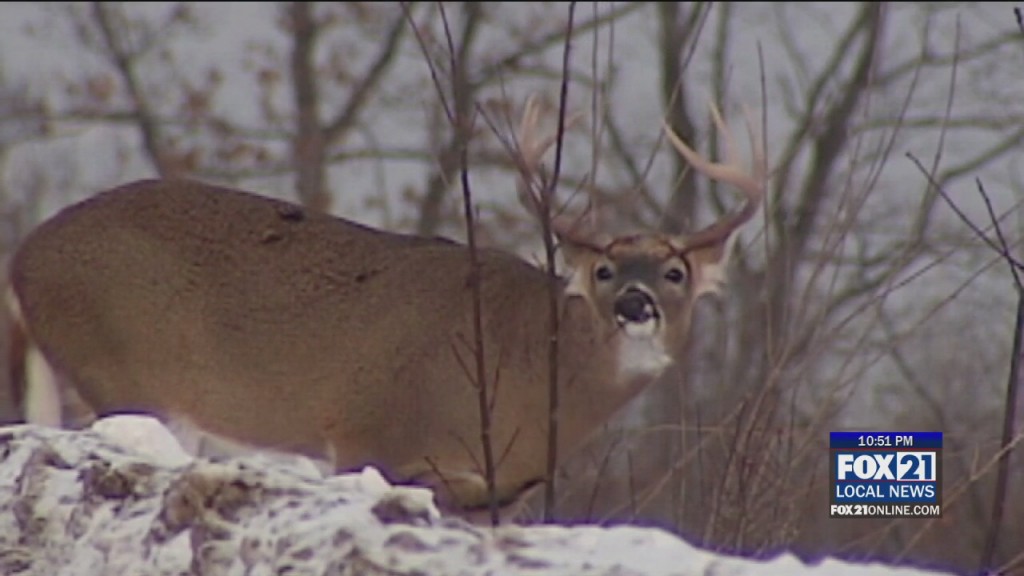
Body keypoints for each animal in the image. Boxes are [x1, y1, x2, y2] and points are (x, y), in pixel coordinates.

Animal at [6, 99, 765, 520]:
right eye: (604, 271)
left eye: (675, 272)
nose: (636, 303)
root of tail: (23, 256)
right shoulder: (373, 437)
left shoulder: (493, 492)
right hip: (118, 370)